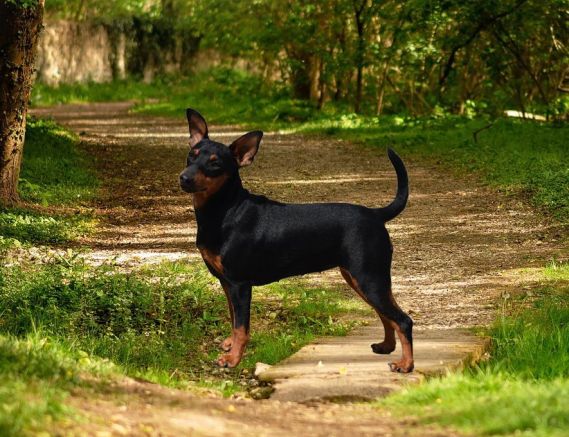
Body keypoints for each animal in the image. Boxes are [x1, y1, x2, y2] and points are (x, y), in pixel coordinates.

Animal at [179, 109, 412, 372]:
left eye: (215, 163)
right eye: (191, 155)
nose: (184, 178)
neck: (225, 209)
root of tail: (375, 214)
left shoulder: (240, 284)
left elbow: (242, 327)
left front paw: (233, 359)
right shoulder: (227, 283)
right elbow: (233, 318)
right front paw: (230, 346)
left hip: (368, 278)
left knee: (403, 320)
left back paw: (406, 364)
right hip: (363, 278)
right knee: (387, 315)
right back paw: (386, 346)